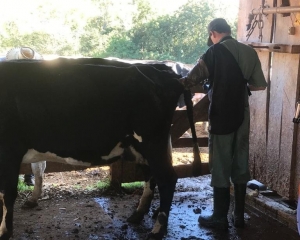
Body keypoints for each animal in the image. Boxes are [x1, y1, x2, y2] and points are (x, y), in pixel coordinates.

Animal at [0, 60, 197, 240]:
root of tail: (167, 74)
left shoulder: (8, 152)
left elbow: (7, 193)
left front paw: (5, 232)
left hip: (153, 140)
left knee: (167, 179)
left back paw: (157, 230)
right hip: (141, 147)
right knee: (150, 175)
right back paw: (137, 215)